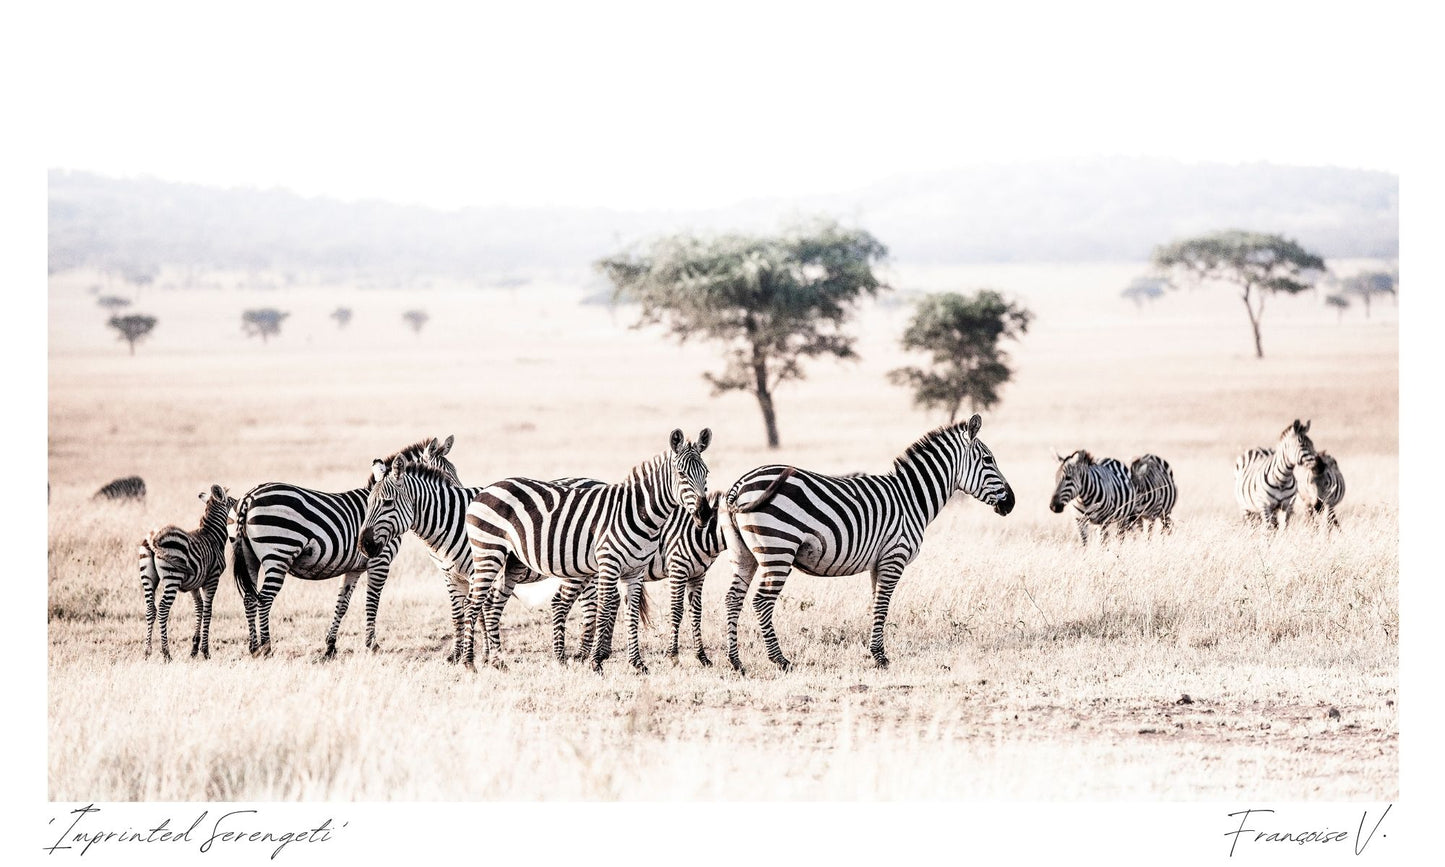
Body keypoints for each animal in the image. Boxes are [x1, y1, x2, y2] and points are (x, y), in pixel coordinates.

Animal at [139, 485, 235, 661]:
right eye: (233, 501)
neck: (213, 536)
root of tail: (154, 538)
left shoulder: (194, 585)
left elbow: (199, 609)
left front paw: (194, 649)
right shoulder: (213, 578)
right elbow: (208, 610)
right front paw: (205, 651)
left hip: (147, 577)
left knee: (150, 609)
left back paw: (147, 652)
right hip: (172, 578)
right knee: (163, 609)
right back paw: (166, 653)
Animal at [231, 436, 459, 653]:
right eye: (444, 476)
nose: (458, 512)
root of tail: (249, 497)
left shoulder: (354, 567)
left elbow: (342, 604)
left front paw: (330, 646)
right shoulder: (380, 561)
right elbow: (372, 602)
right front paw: (372, 645)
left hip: (250, 558)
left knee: (249, 598)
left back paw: (254, 648)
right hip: (279, 554)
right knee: (264, 599)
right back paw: (267, 648)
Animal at [462, 430, 710, 673]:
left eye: (706, 473)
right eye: (681, 474)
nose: (704, 514)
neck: (638, 513)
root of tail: (487, 489)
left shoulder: (635, 571)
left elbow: (631, 615)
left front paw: (637, 664)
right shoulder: (609, 564)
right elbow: (604, 609)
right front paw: (596, 661)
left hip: (514, 561)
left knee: (493, 603)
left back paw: (498, 662)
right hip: (488, 552)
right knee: (472, 603)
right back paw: (469, 663)